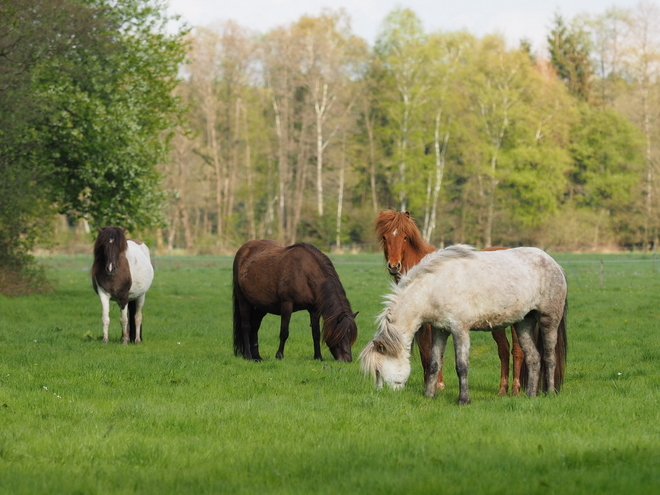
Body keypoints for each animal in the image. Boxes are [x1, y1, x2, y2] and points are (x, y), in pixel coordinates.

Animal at [360, 245, 568, 406]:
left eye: (378, 371)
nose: (382, 395)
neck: (434, 286)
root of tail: (554, 263)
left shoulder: (460, 330)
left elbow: (462, 366)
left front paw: (463, 400)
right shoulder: (440, 330)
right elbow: (434, 363)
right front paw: (429, 395)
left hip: (549, 320)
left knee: (549, 357)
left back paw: (549, 393)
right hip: (523, 323)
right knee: (533, 358)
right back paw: (530, 395)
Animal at [376, 211, 524, 398]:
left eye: (404, 237)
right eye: (384, 237)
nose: (394, 266)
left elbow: (433, 353)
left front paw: (438, 385)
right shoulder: (422, 325)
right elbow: (426, 354)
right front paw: (428, 384)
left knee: (517, 351)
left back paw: (515, 390)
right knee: (504, 350)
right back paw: (502, 390)